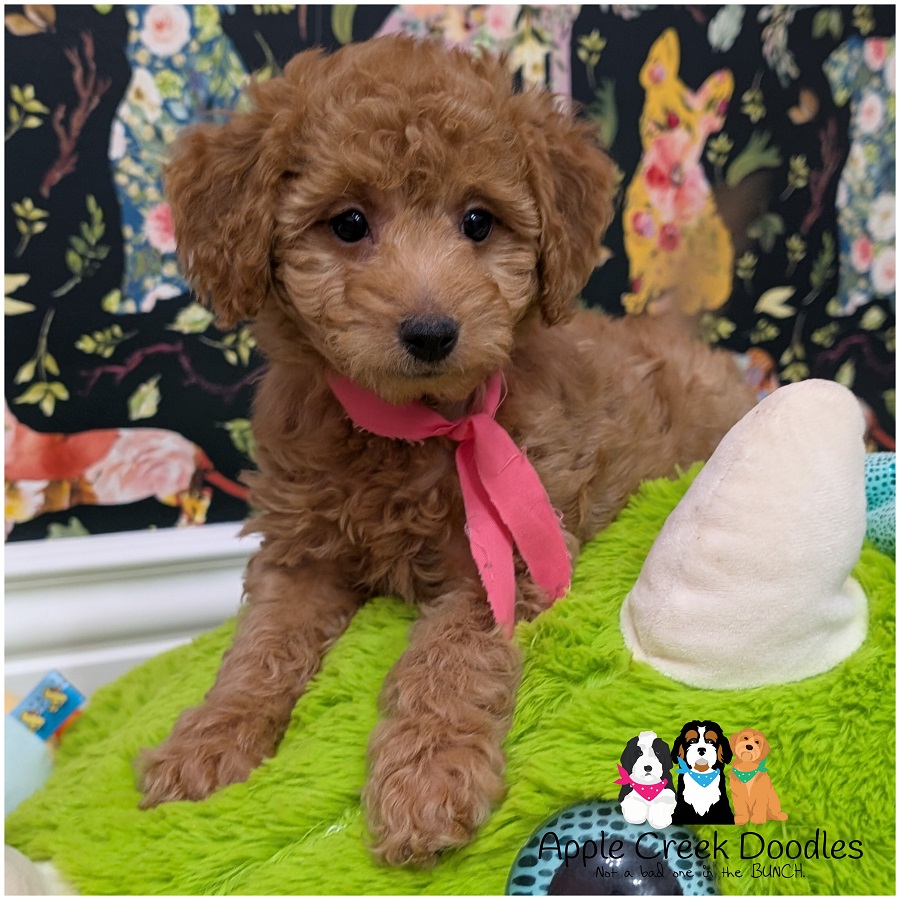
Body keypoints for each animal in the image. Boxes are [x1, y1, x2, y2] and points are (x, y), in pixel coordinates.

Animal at [136, 35, 755, 865]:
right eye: (349, 222)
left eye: (478, 222)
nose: (432, 333)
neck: (414, 427)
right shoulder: (301, 555)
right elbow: (259, 647)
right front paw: (206, 741)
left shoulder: (503, 558)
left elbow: (448, 660)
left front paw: (426, 782)